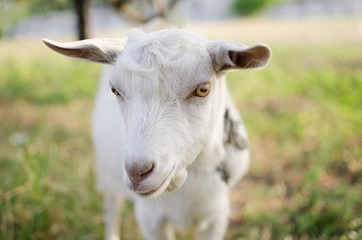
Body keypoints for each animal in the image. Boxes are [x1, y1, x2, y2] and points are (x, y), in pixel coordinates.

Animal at [42, 29, 270, 240]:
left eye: (203, 90)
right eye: (115, 90)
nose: (137, 172)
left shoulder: (216, 218)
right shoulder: (150, 217)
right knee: (112, 206)